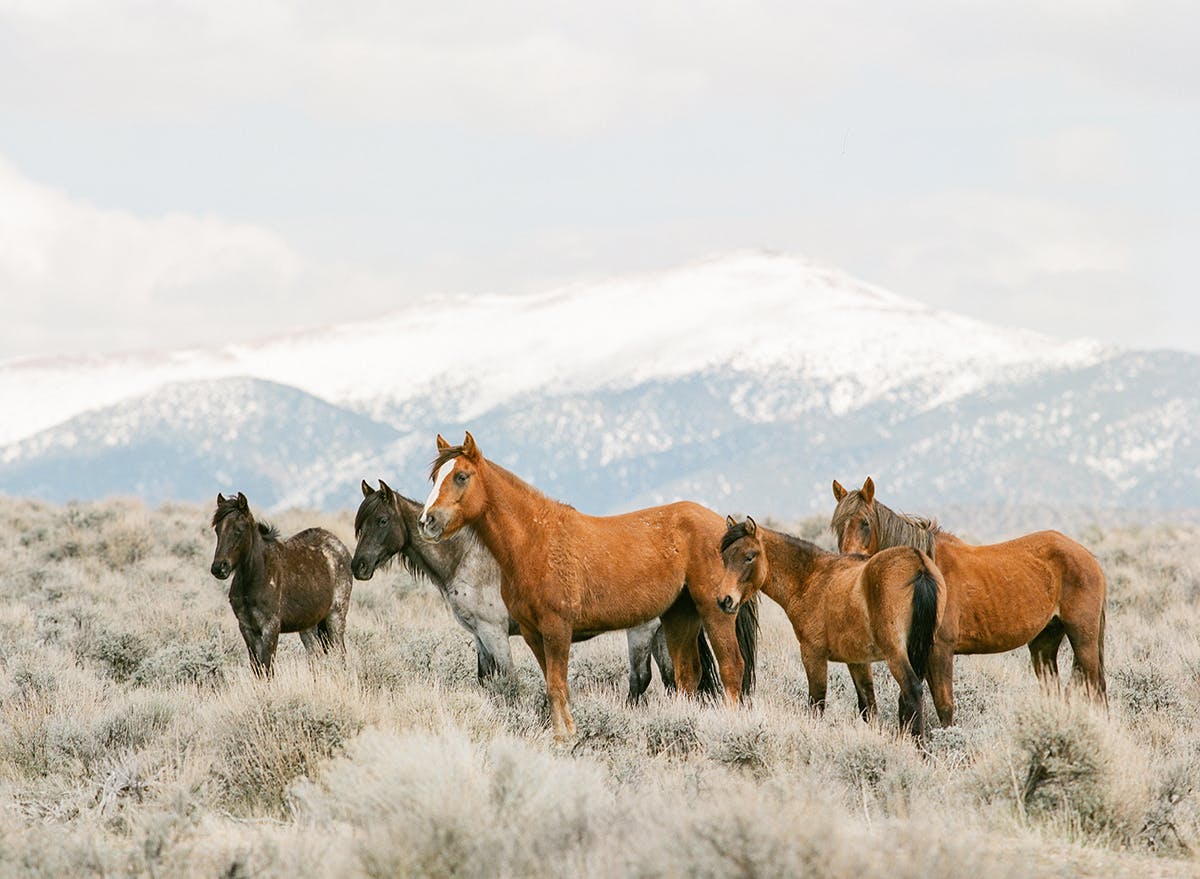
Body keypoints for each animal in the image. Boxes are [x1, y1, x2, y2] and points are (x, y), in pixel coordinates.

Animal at [208, 489, 350, 677]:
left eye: (239, 530)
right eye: (217, 530)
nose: (219, 567)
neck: (256, 577)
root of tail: (340, 547)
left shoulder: (270, 628)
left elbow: (267, 669)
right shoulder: (247, 629)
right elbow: (257, 669)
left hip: (336, 617)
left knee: (340, 655)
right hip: (308, 626)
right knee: (315, 657)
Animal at [350, 480, 729, 701]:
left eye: (382, 520)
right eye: (360, 523)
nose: (358, 567)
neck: (466, 559)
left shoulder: (495, 633)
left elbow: (509, 683)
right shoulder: (479, 635)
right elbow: (486, 680)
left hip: (641, 630)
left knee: (641, 680)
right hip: (661, 630)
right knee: (673, 679)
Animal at [417, 432, 763, 739]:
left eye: (461, 476)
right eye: (434, 478)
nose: (427, 521)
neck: (536, 541)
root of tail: (725, 528)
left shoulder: (557, 630)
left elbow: (557, 686)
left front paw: (564, 738)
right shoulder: (532, 634)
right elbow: (552, 685)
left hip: (715, 612)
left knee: (732, 668)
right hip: (680, 616)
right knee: (687, 674)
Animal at [710, 513, 955, 734]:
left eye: (749, 556)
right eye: (724, 557)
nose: (724, 600)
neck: (811, 578)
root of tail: (919, 566)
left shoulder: (813, 655)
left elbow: (816, 703)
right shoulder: (857, 662)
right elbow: (868, 705)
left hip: (896, 653)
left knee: (912, 691)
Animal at [835, 477, 1104, 706]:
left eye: (865, 522)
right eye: (837, 526)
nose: (849, 560)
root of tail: (1087, 555)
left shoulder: (940, 651)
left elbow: (944, 705)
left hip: (1083, 638)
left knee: (1095, 687)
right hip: (1044, 642)